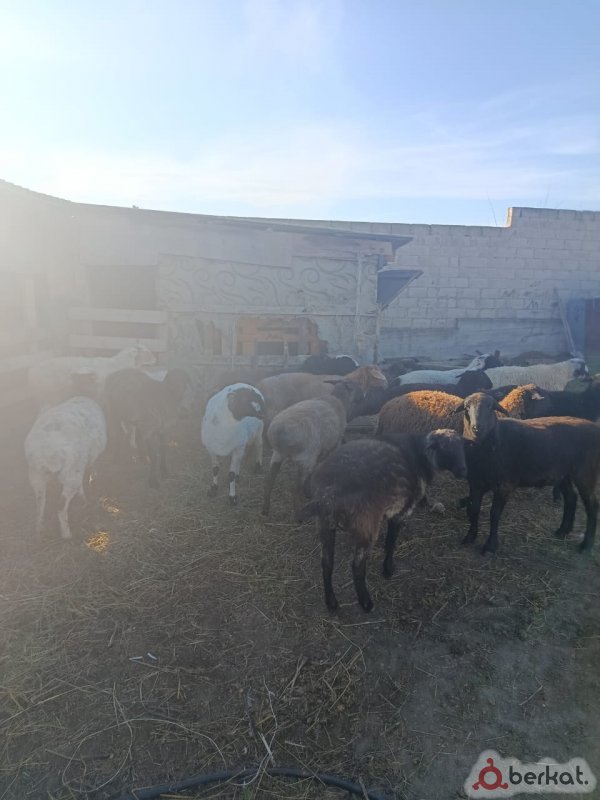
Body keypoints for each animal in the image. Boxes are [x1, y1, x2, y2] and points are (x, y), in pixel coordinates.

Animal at [24, 396, 107, 539]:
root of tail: (48, 454)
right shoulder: (82, 464)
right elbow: (91, 468)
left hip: (36, 475)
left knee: (40, 502)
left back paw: (39, 529)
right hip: (70, 475)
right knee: (60, 505)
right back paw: (66, 534)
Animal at [262, 380, 364, 516]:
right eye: (357, 385)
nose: (363, 397)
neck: (339, 399)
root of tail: (280, 431)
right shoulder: (334, 444)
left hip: (278, 455)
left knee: (269, 480)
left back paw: (265, 509)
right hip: (306, 458)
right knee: (295, 488)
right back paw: (298, 514)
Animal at [297, 430, 467, 612]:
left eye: (462, 448)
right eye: (444, 448)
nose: (463, 471)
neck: (420, 456)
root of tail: (328, 496)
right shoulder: (400, 513)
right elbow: (390, 543)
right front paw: (388, 569)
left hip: (325, 524)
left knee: (327, 562)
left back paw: (331, 601)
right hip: (366, 528)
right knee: (357, 566)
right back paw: (366, 602)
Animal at [457, 392, 600, 555]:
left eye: (490, 406)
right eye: (467, 407)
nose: (477, 428)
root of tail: (595, 428)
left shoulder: (504, 485)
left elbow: (494, 515)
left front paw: (490, 546)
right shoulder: (475, 483)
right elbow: (474, 510)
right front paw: (469, 537)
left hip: (585, 473)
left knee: (592, 506)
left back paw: (586, 545)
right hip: (562, 473)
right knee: (571, 497)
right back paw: (563, 531)